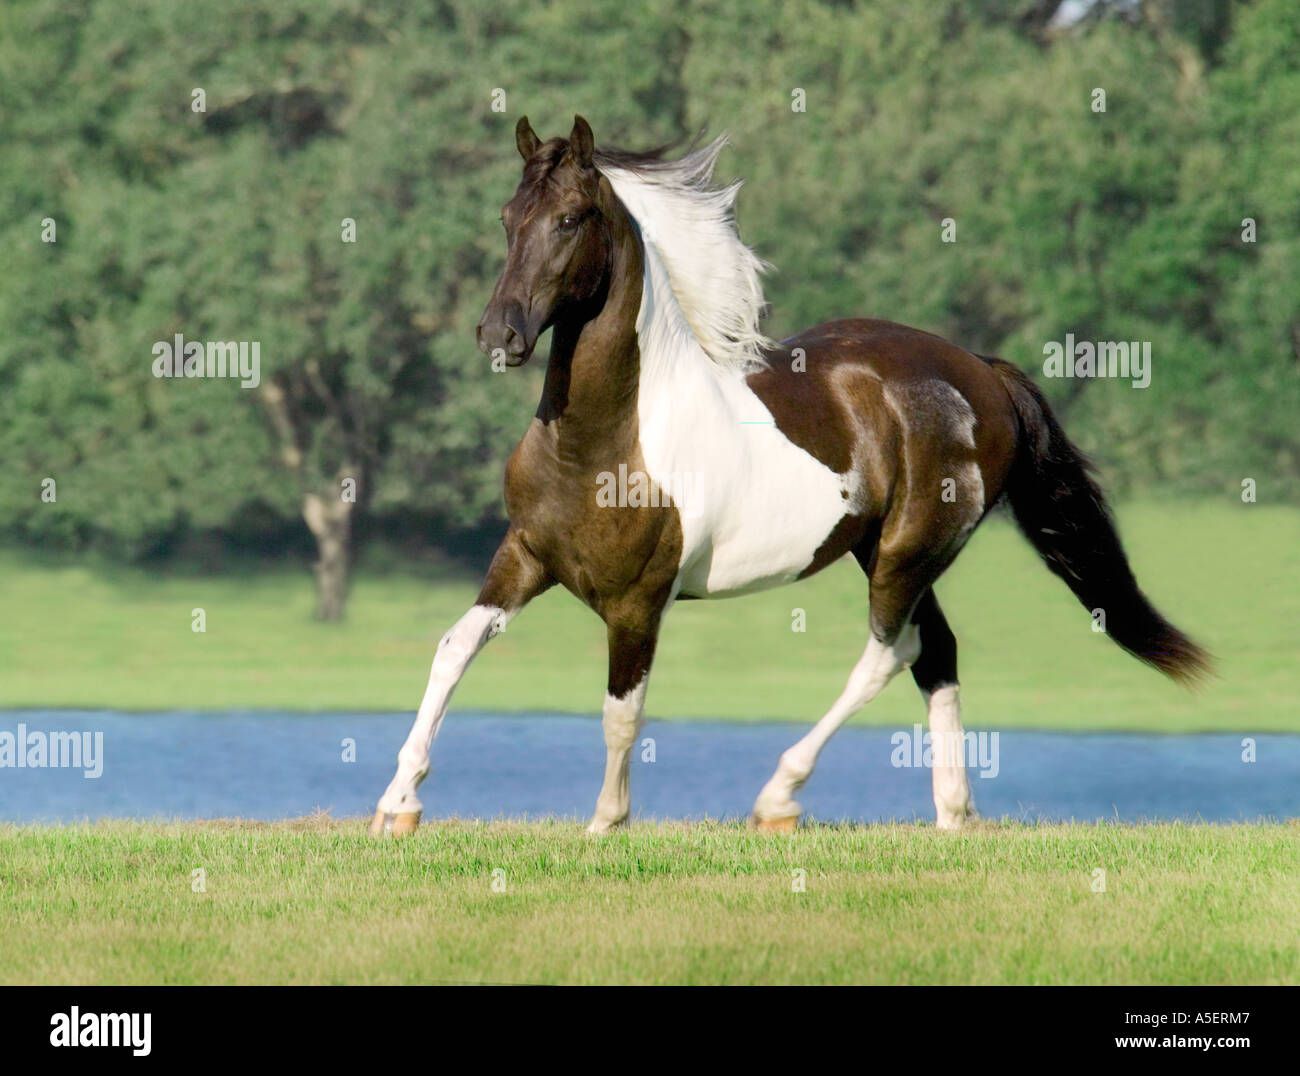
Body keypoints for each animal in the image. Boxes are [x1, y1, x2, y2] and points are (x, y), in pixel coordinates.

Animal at [369, 115, 1208, 837]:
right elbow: (454, 648)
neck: (605, 443)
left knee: (890, 653)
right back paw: (953, 814)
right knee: (936, 654)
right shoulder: (524, 557)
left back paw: (779, 798)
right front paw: (397, 806)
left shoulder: (639, 599)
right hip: (885, 551)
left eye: (571, 219)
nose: (499, 333)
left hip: (909, 552)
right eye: (508, 217)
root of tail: (980, 371)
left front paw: (606, 821)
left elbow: (621, 710)